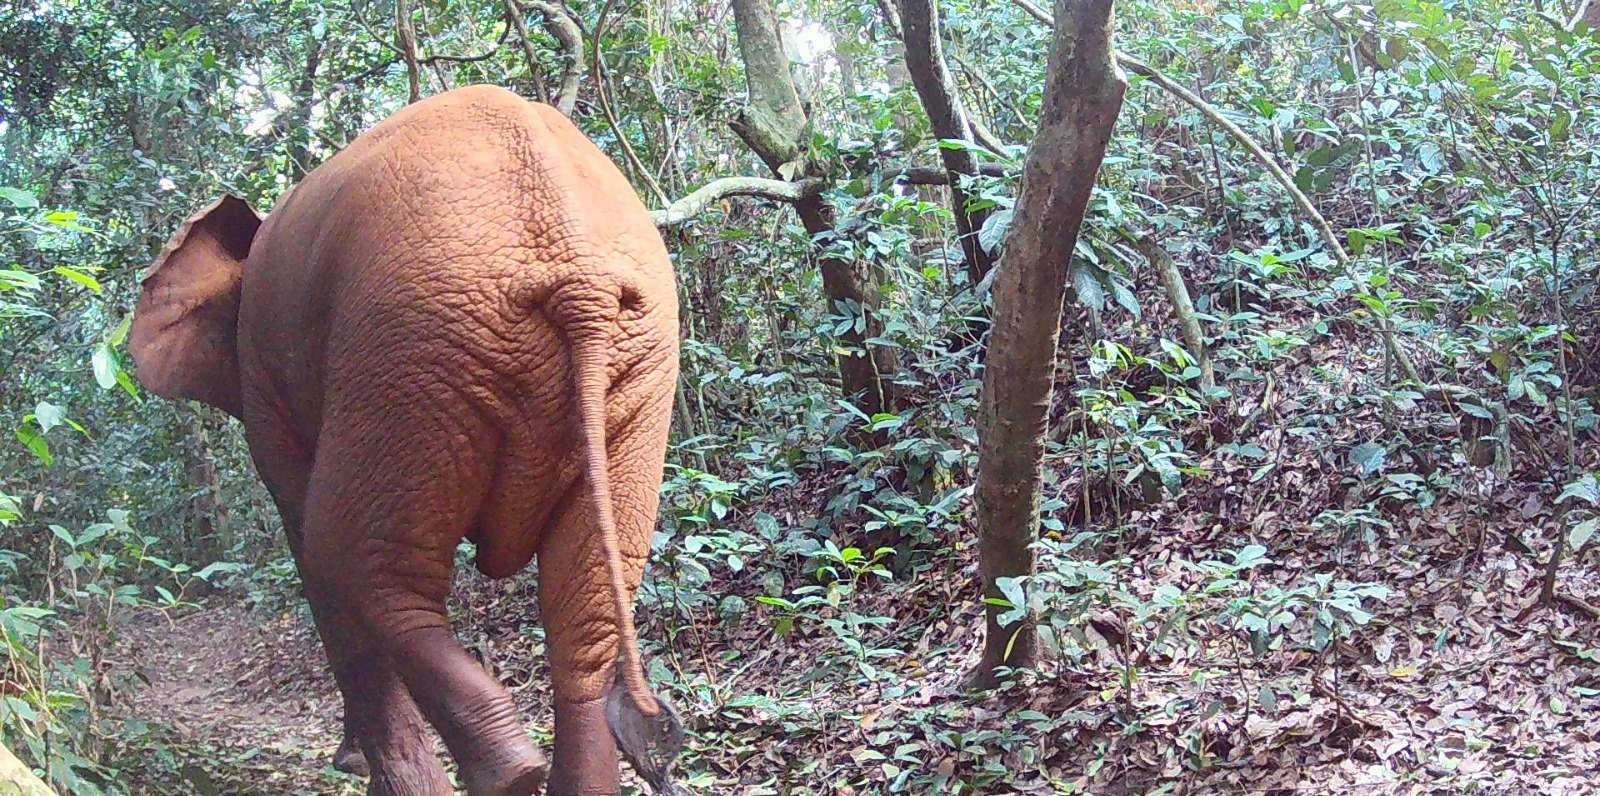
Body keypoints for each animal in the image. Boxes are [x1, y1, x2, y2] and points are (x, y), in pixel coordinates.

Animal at [129, 85, 684, 796]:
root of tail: (576, 277)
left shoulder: (265, 377)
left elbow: (301, 533)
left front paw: (352, 763)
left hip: (408, 352)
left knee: (348, 553)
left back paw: (500, 772)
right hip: (622, 366)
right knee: (582, 601)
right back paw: (525, 769)